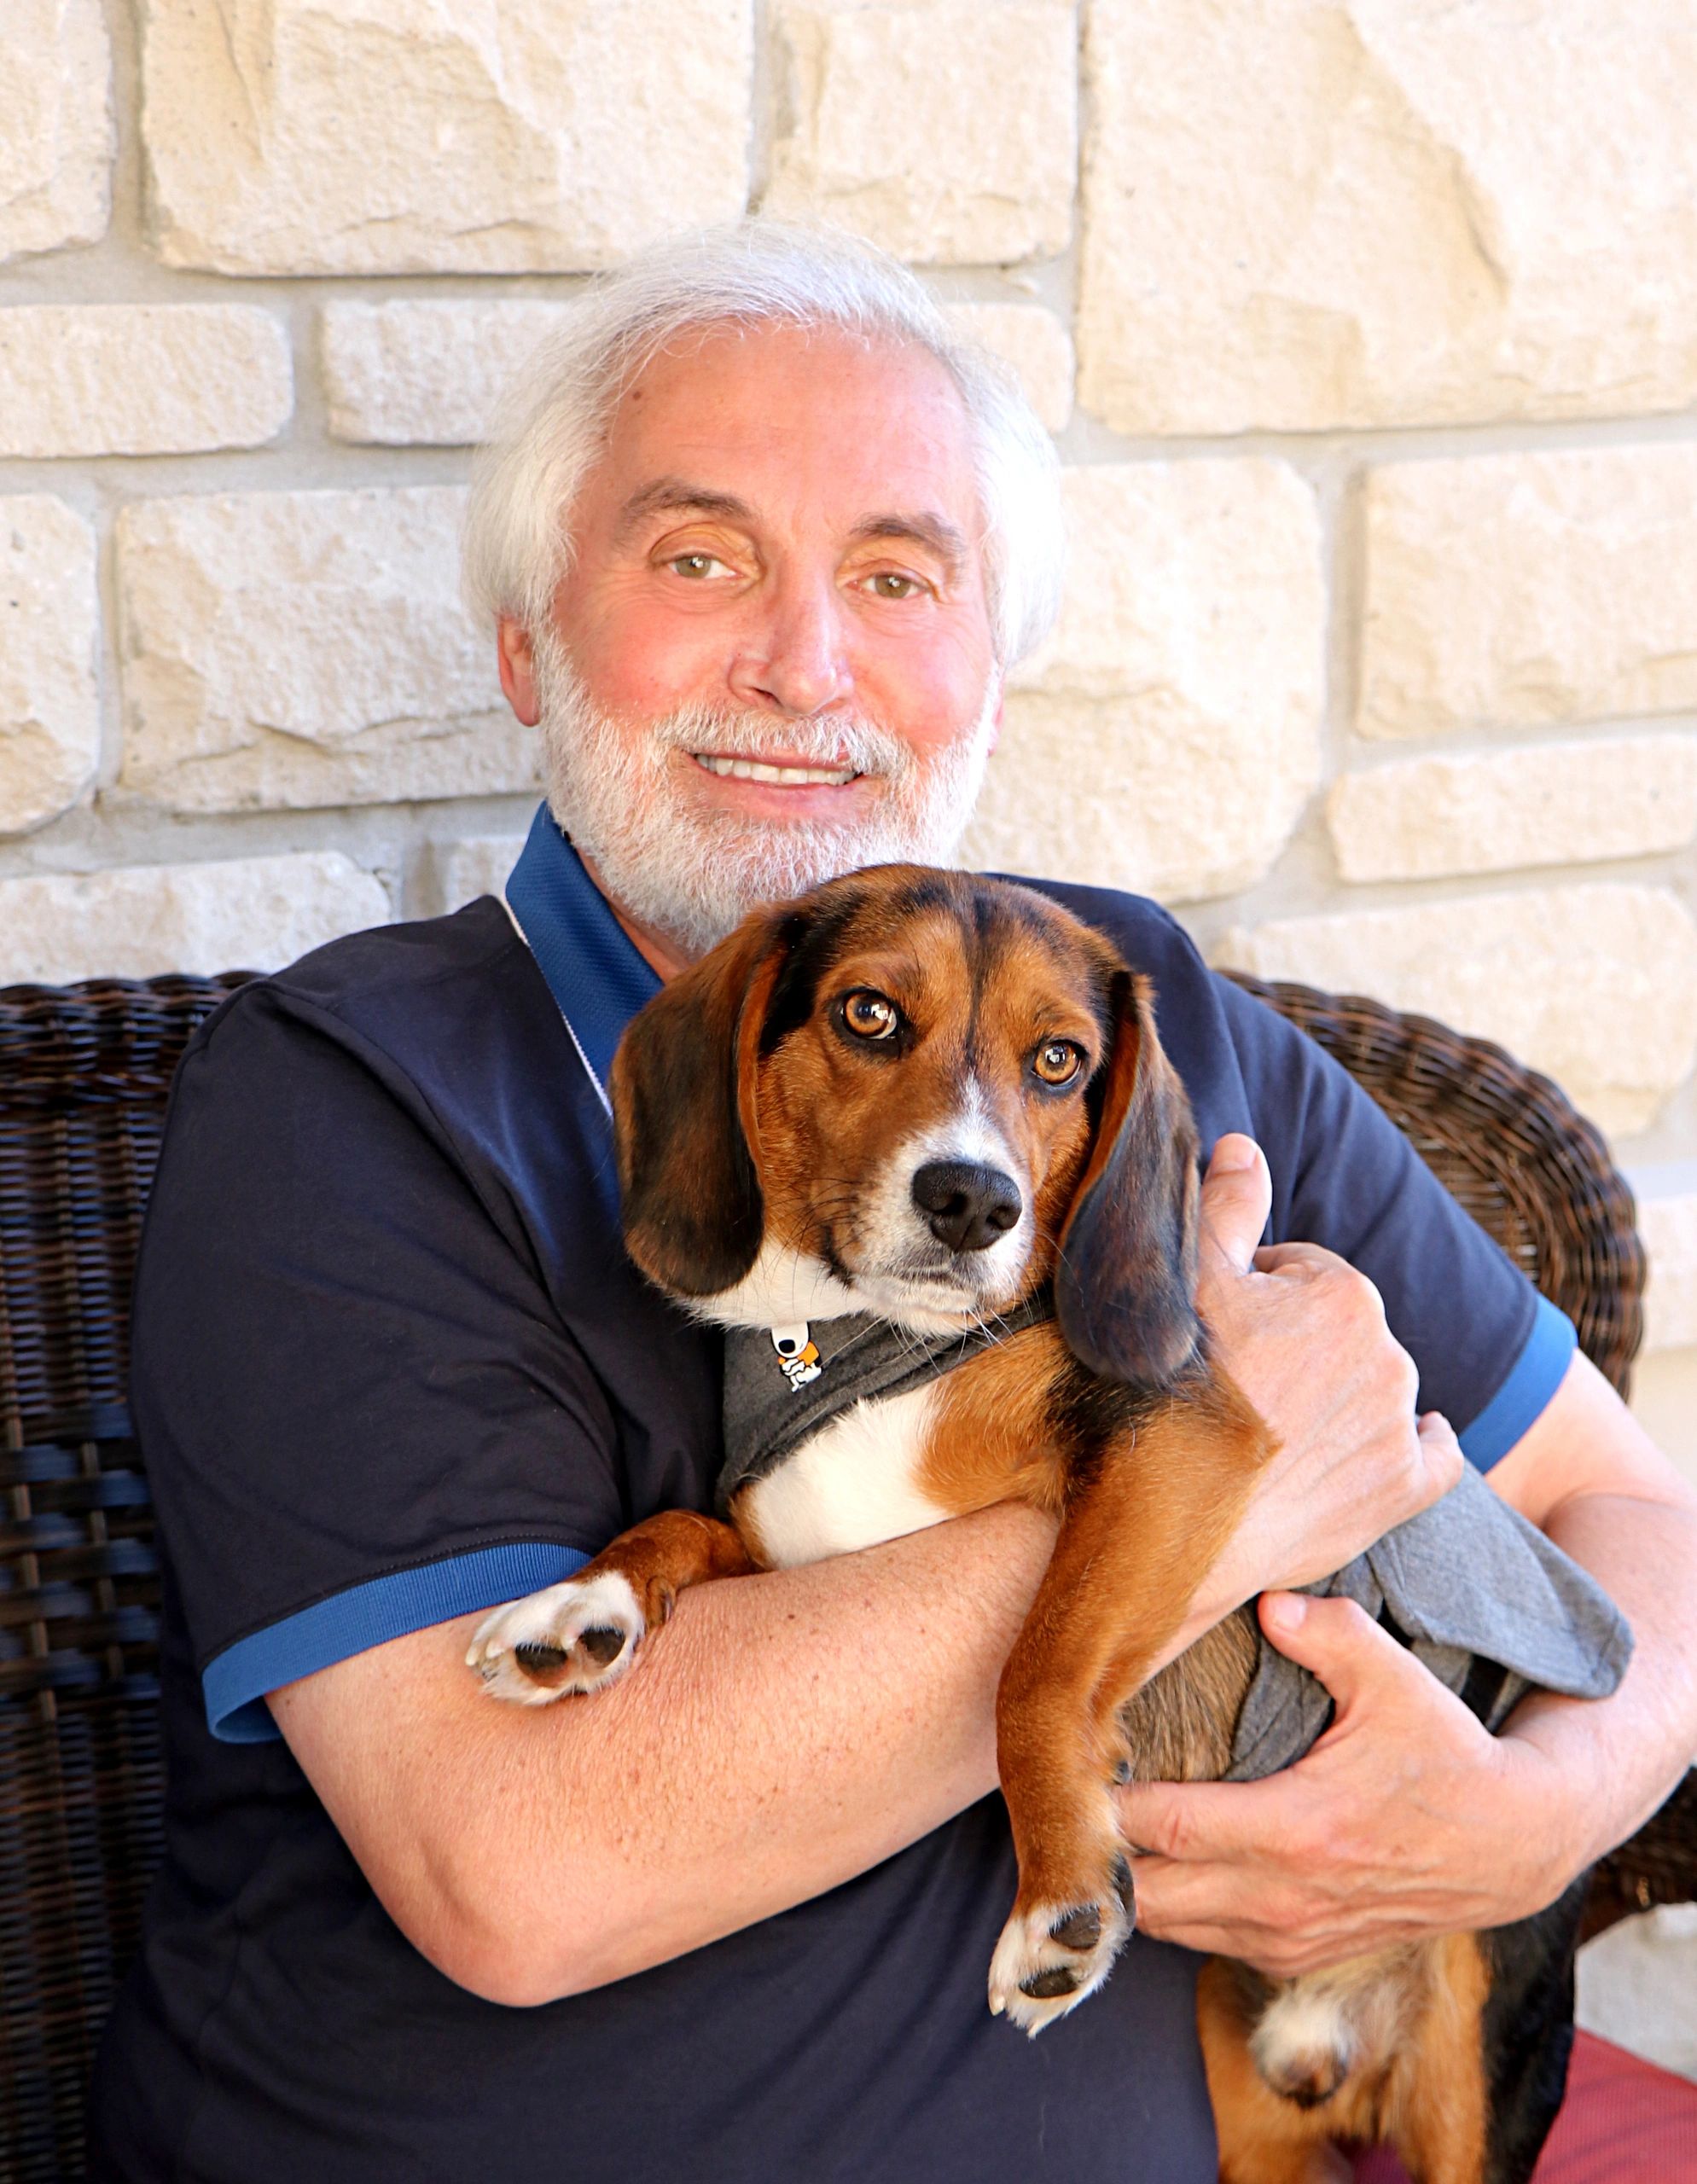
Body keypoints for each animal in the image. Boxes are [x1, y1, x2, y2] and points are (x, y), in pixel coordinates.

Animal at [469, 864, 1598, 2184]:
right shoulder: (794, 1541)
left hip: (1477, 2052)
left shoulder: (1176, 1440)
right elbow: (675, 1526)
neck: (864, 1340)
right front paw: (584, 1605)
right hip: (1250, 2125)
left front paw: (1060, 1890)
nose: (973, 1201)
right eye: (867, 1015)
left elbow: (1037, 1669)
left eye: (1059, 1061)